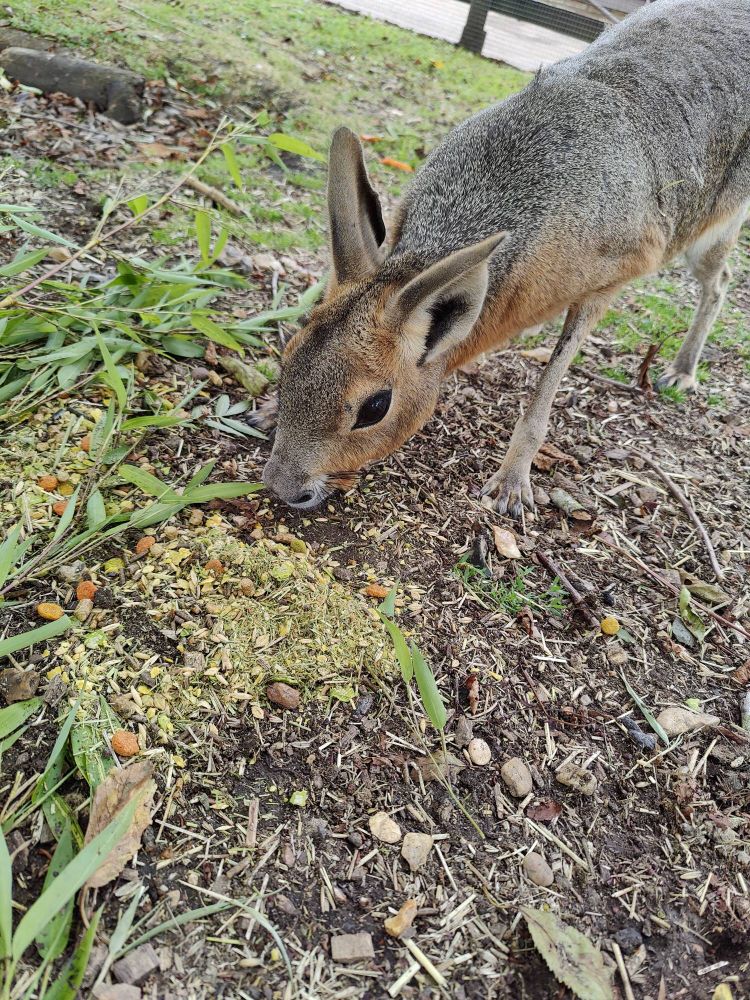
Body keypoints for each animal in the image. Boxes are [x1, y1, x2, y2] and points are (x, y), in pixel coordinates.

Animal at [259, 0, 750, 518]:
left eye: (375, 408)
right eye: (288, 356)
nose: (280, 485)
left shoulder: (606, 285)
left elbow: (544, 393)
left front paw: (512, 483)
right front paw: (269, 409)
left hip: (710, 232)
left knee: (721, 282)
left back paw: (682, 371)